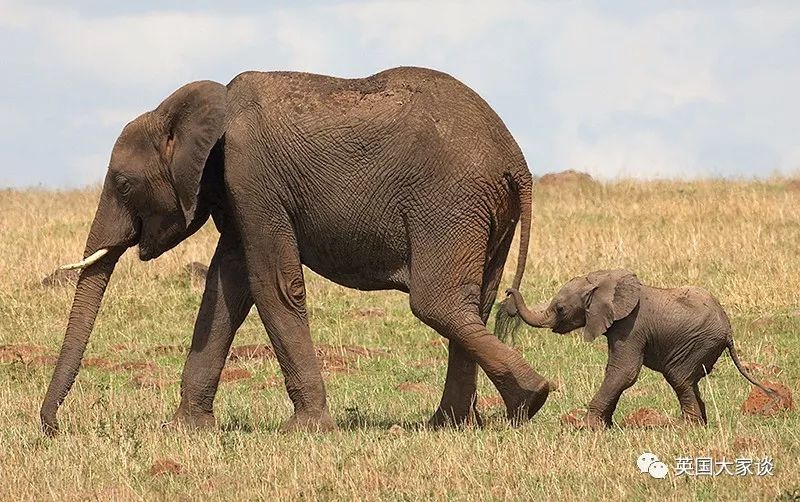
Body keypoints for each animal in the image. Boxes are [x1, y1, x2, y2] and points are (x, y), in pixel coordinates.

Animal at [39, 67, 552, 436]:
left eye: (124, 184)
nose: (54, 428)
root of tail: (517, 161)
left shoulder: (253, 178)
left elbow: (273, 287)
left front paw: (304, 431)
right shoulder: (237, 195)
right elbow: (225, 293)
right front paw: (184, 432)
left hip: (448, 204)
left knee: (438, 303)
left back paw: (531, 399)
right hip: (484, 211)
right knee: (474, 304)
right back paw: (456, 424)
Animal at [500, 268, 776, 430]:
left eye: (560, 309)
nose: (508, 291)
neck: (603, 282)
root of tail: (728, 329)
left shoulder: (630, 327)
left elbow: (624, 372)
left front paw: (586, 428)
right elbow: (616, 371)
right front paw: (605, 426)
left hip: (699, 341)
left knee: (679, 377)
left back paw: (686, 428)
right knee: (691, 380)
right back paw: (701, 424)